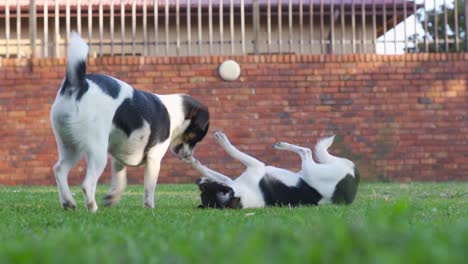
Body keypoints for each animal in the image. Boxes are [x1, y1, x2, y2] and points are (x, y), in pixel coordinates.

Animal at [50, 32, 209, 212]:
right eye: (196, 136)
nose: (189, 157)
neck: (176, 112)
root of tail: (78, 84)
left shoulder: (119, 158)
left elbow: (120, 181)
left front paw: (112, 198)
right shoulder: (154, 159)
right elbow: (149, 188)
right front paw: (149, 207)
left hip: (71, 147)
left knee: (60, 170)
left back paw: (68, 202)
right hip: (97, 152)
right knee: (87, 184)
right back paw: (93, 209)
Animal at [185, 131, 360, 208]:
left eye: (204, 188)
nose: (197, 181)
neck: (242, 196)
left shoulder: (254, 166)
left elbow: (232, 153)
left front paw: (192, 161)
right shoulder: (250, 170)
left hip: (310, 171)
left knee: (307, 152)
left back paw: (282, 145)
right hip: (311, 171)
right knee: (307, 152)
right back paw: (283, 145)